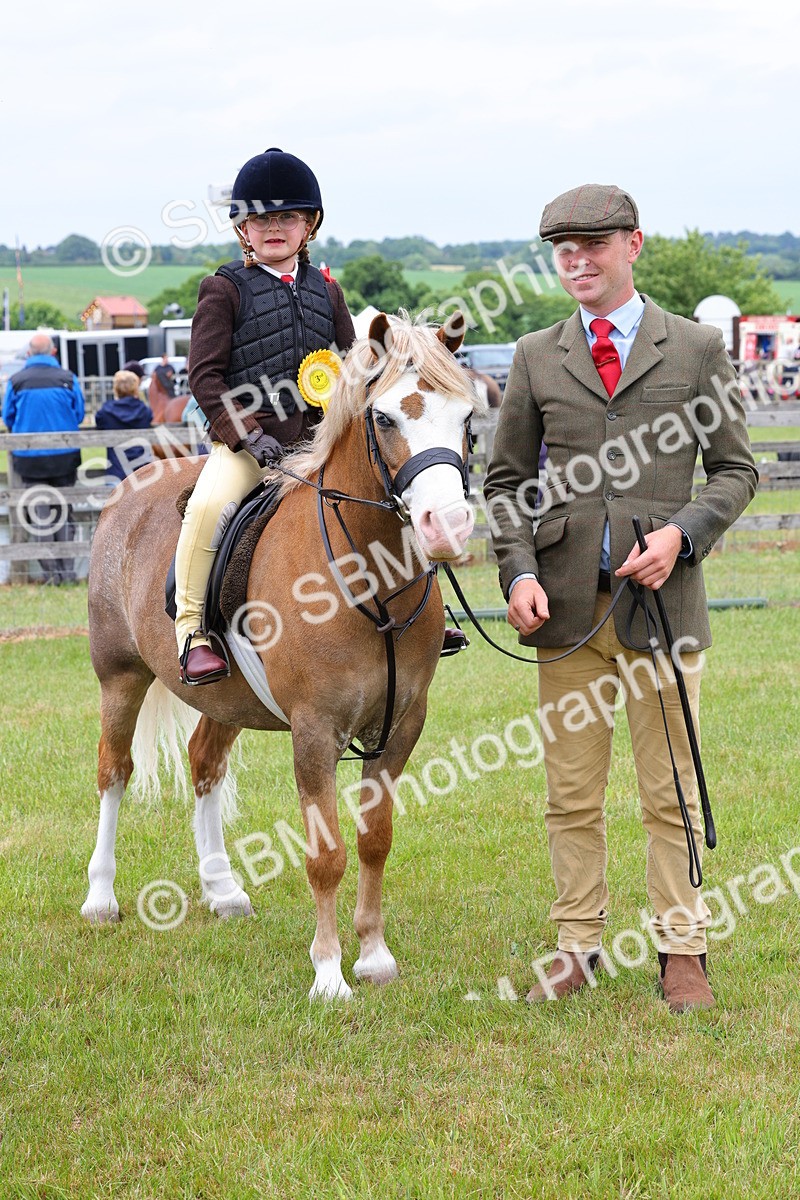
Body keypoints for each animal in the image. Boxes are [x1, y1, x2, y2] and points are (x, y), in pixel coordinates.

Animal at [82, 311, 486, 1000]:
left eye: (465, 416)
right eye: (385, 419)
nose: (448, 526)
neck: (365, 575)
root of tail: (131, 490)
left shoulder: (402, 725)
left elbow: (374, 840)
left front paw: (373, 956)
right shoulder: (314, 730)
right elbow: (326, 854)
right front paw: (328, 973)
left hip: (225, 697)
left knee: (204, 764)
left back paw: (222, 890)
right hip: (121, 678)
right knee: (114, 772)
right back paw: (101, 898)